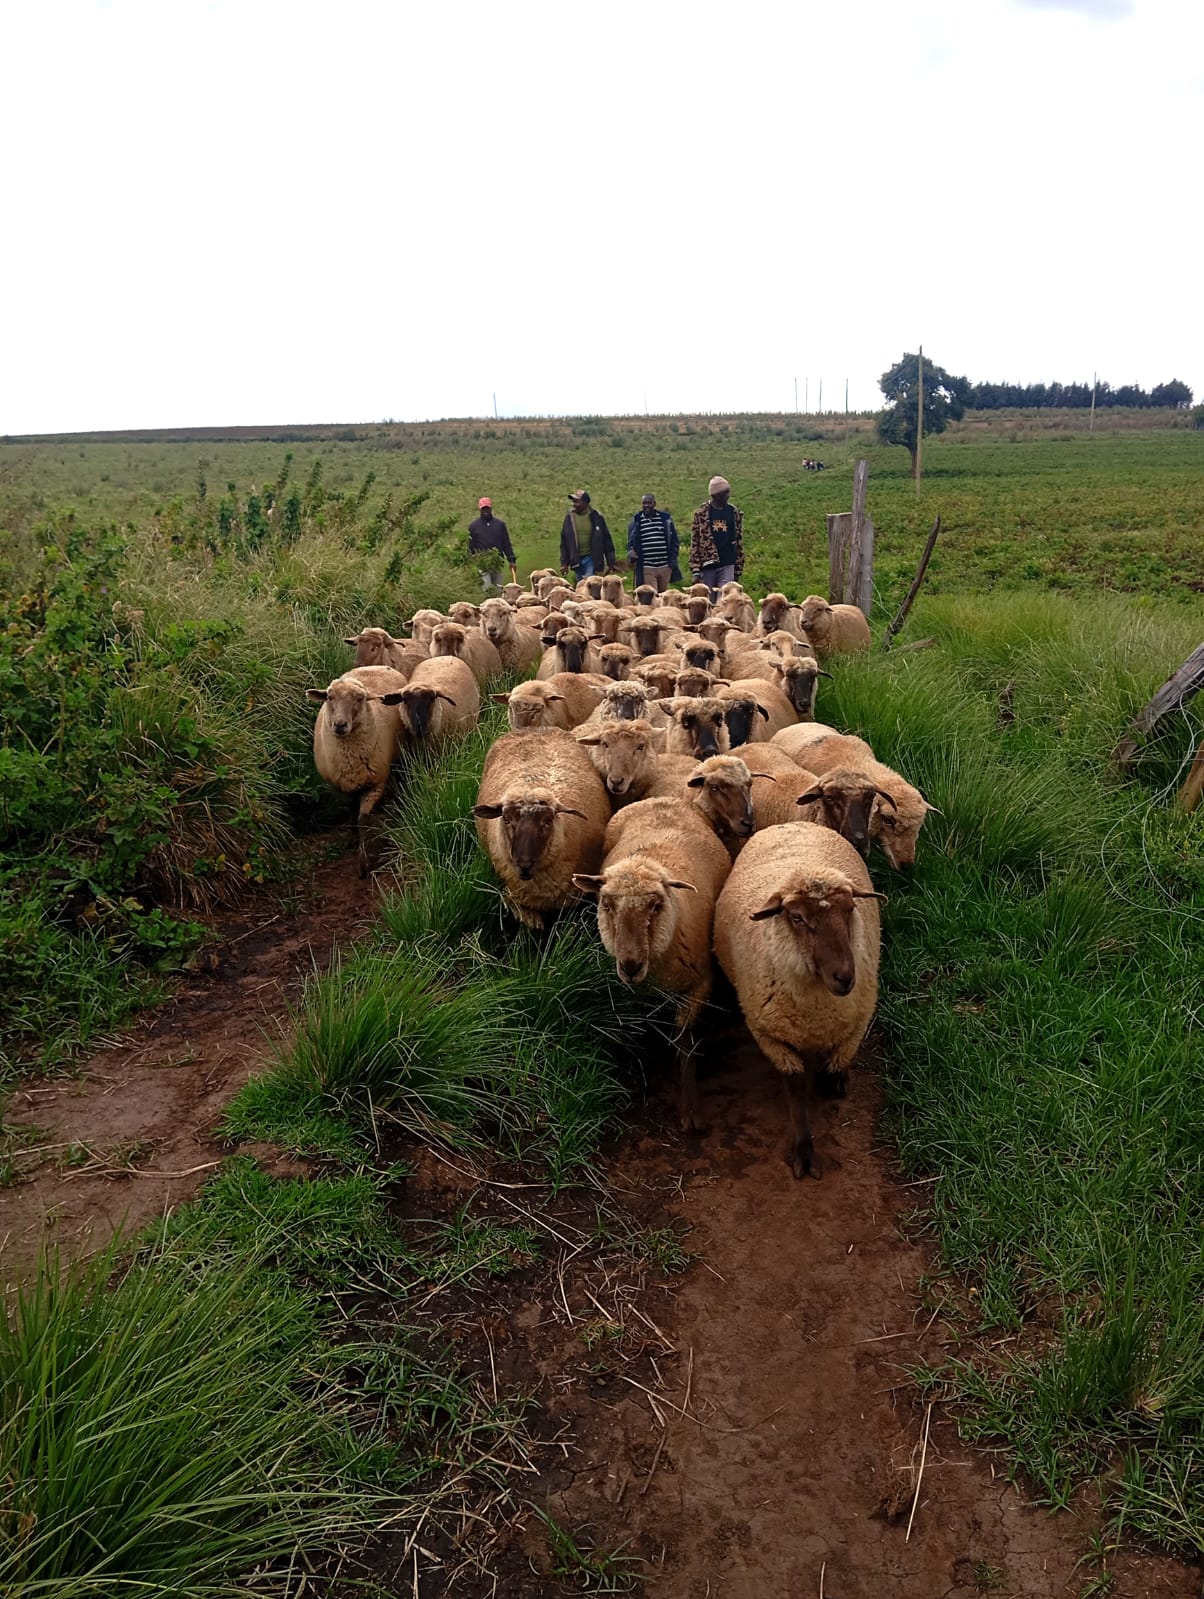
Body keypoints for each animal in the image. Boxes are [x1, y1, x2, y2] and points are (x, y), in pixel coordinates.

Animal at [307, 665, 408, 876]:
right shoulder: (342, 785)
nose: (339, 725)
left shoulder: (375, 783)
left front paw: (363, 863)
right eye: (329, 697)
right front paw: (351, 839)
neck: (349, 758)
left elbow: (362, 819)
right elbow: (351, 811)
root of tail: (375, 666)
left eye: (360, 699)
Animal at [573, 795, 732, 1130]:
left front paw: (690, 1108)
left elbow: (684, 1038)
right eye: (606, 904)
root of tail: (664, 798)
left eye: (656, 905)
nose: (630, 966)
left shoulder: (702, 983)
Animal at [713, 823, 884, 1178]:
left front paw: (833, 1080)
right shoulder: (773, 1039)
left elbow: (837, 1062)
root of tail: (794, 824)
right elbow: (795, 1094)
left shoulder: (855, 1025)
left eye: (850, 909)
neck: (816, 1013)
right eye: (797, 918)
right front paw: (804, 1151)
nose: (845, 976)